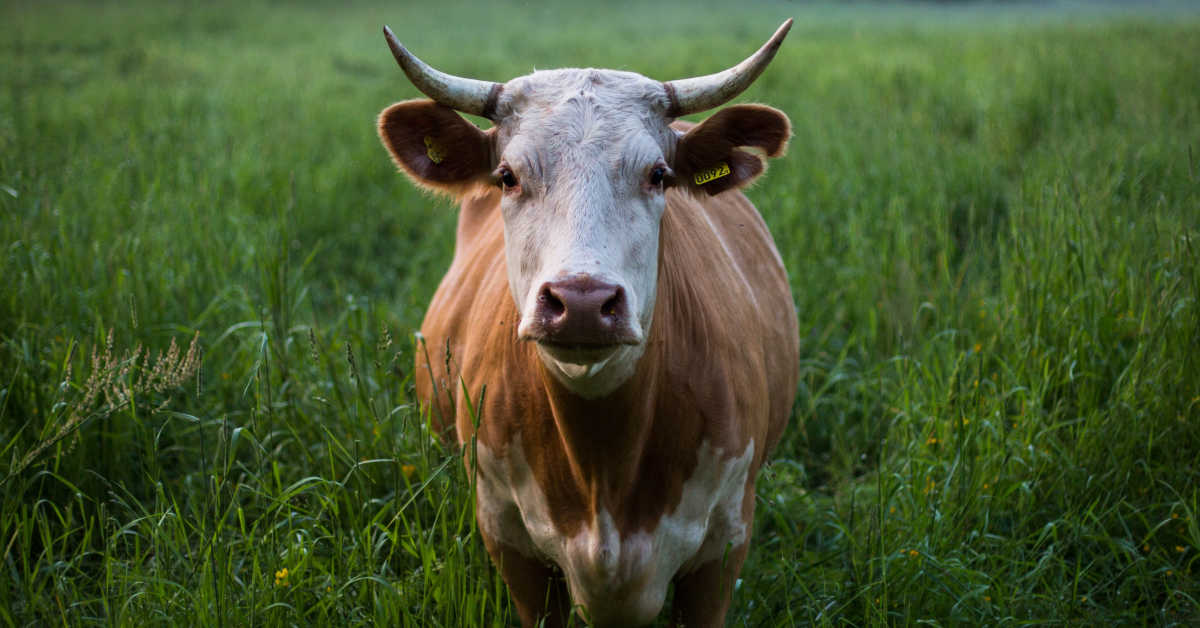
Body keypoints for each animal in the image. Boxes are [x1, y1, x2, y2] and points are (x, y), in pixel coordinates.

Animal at [379, 19, 801, 628]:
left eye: (658, 175)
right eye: (507, 176)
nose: (581, 301)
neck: (604, 470)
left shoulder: (723, 548)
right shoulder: (509, 541)